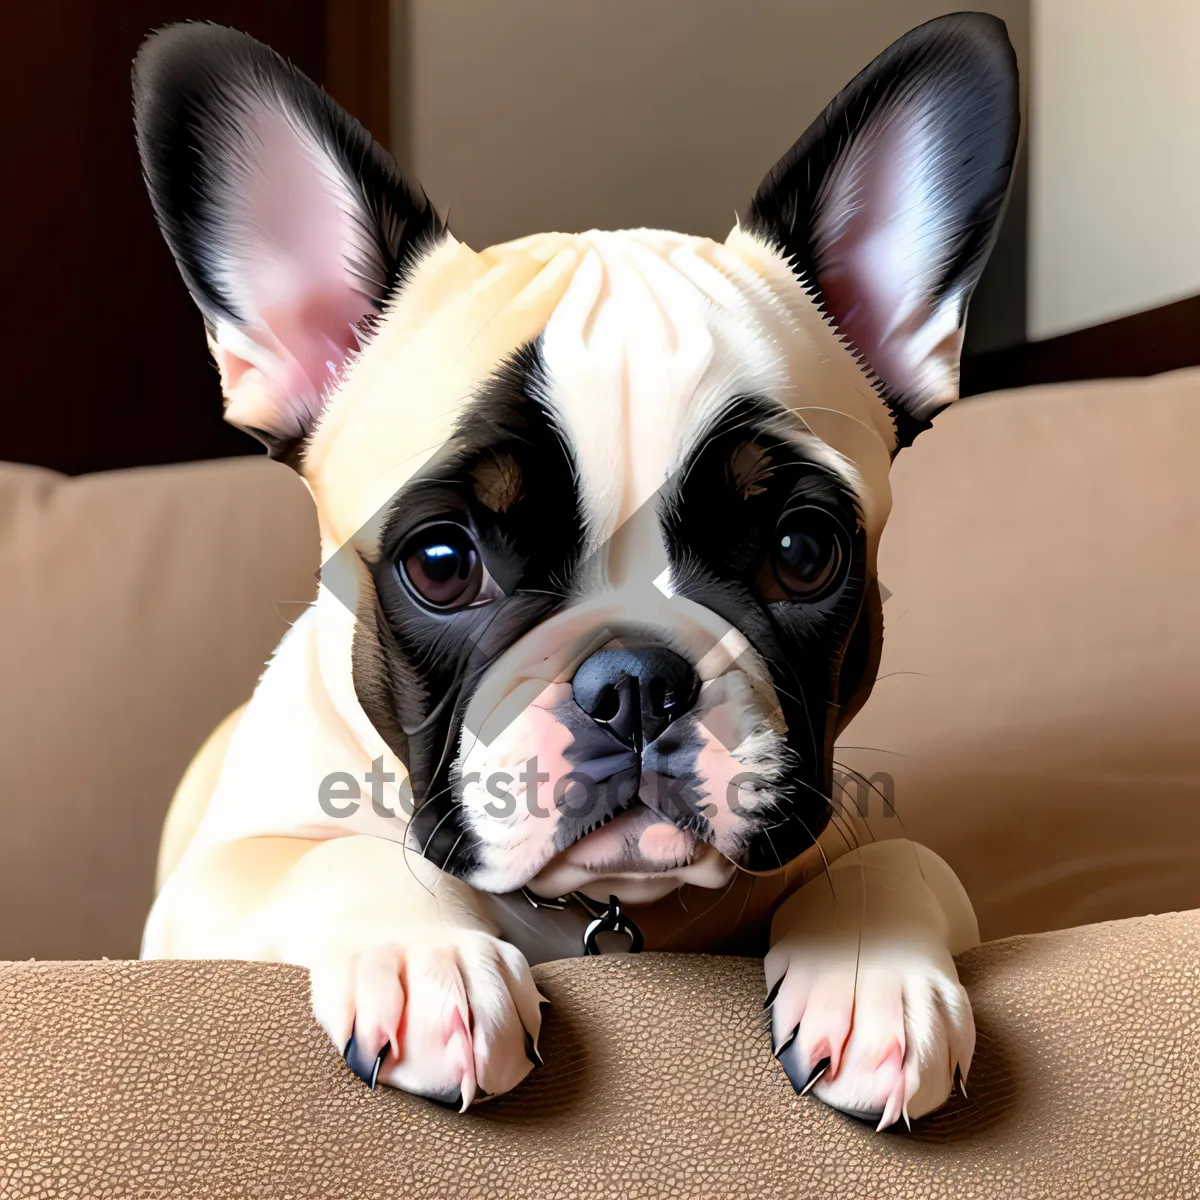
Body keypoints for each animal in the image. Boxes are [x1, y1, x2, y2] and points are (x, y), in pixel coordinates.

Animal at [138, 14, 1022, 1128]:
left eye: (802, 552)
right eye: (441, 563)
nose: (634, 680)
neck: (603, 911)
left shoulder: (843, 826)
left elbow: (901, 857)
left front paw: (872, 976)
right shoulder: (206, 893)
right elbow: (330, 854)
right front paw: (428, 959)